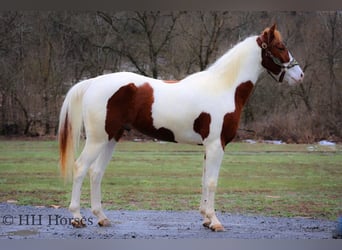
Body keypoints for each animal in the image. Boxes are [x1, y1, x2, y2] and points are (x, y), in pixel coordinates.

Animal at [57, 24, 304, 231]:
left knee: (96, 172)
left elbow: (204, 180)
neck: (224, 87)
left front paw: (205, 219)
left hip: (112, 138)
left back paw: (102, 217)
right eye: (280, 47)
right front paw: (215, 221)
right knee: (80, 168)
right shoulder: (216, 145)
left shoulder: (209, 147)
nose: (300, 75)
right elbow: (212, 182)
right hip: (98, 139)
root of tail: (93, 82)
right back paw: (77, 218)